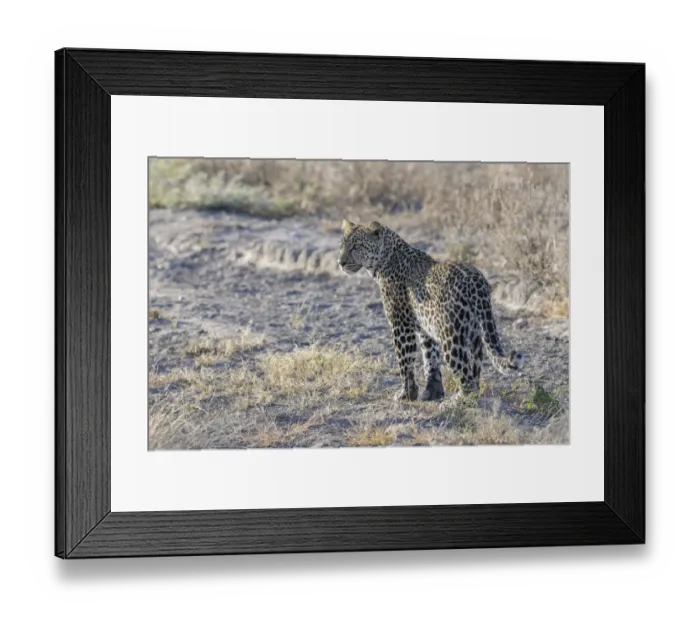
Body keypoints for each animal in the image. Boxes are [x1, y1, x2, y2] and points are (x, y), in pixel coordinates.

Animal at [338, 218, 524, 403]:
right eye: (341, 246)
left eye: (356, 247)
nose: (341, 263)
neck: (384, 260)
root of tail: (477, 282)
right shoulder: (425, 328)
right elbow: (430, 358)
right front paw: (432, 392)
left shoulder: (400, 324)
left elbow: (404, 360)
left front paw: (406, 394)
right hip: (475, 333)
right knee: (474, 369)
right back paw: (467, 394)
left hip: (451, 336)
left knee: (465, 375)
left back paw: (455, 401)